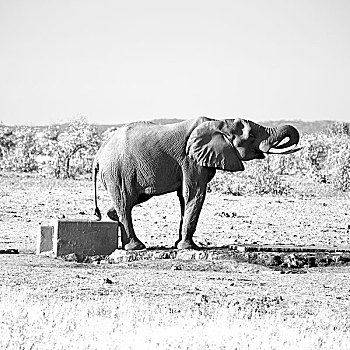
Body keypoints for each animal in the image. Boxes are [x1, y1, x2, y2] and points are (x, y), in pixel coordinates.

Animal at [93, 116, 300, 250]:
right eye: (251, 137)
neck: (219, 122)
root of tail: (98, 154)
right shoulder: (190, 160)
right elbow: (194, 193)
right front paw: (189, 248)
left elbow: (184, 198)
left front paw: (180, 245)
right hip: (118, 171)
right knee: (125, 201)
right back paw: (136, 247)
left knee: (131, 200)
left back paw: (112, 217)